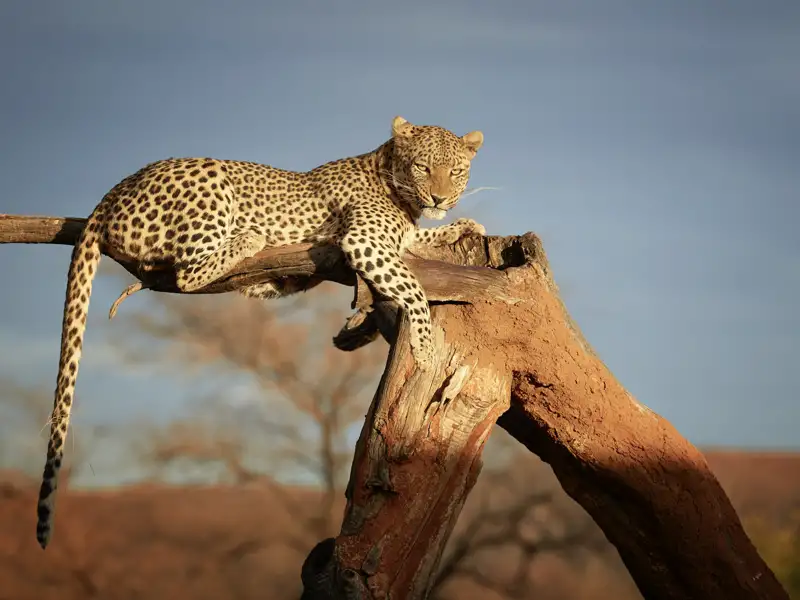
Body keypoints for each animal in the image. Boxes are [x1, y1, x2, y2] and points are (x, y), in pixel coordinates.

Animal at [35, 115, 485, 549]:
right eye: (423, 167)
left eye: (456, 171)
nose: (440, 199)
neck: (395, 184)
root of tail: (114, 190)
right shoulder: (364, 240)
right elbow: (413, 286)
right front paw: (424, 346)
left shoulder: (395, 239)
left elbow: (419, 241)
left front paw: (461, 227)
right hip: (211, 183)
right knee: (187, 273)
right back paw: (249, 237)